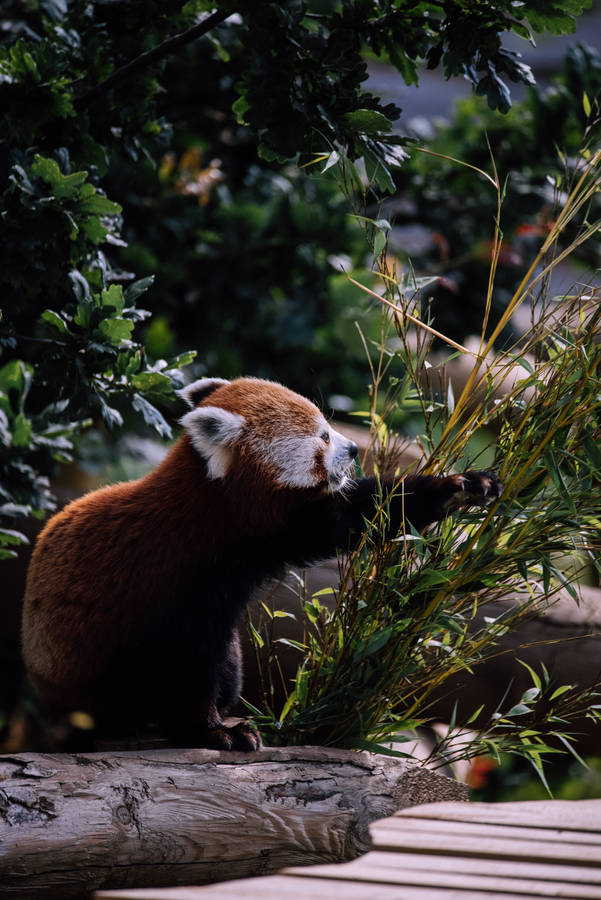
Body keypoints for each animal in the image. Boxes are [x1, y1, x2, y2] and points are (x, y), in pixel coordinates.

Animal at [21, 377, 501, 750]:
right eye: (323, 436)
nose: (352, 450)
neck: (218, 518)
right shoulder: (174, 583)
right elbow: (183, 666)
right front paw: (211, 732)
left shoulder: (278, 534)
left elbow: (360, 513)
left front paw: (461, 486)